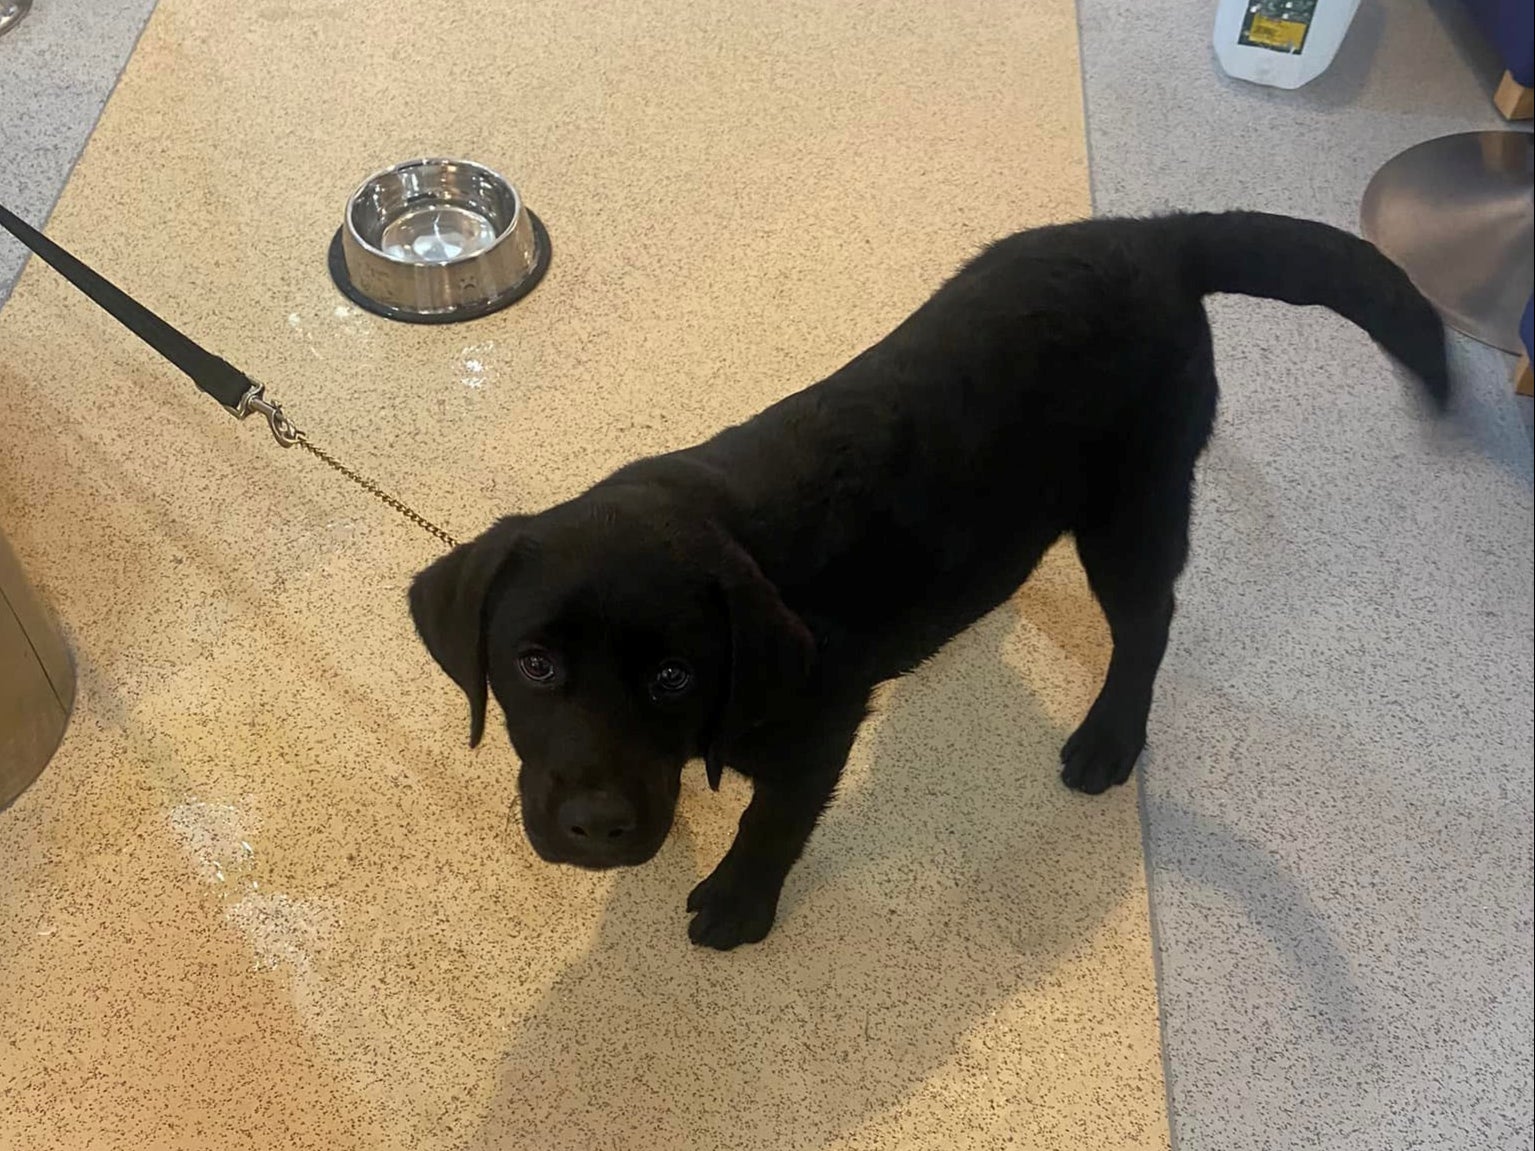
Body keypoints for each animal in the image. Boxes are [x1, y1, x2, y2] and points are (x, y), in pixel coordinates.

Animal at [405, 211, 1436, 951]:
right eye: (534, 665)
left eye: (673, 677)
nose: (596, 828)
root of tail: (1155, 233)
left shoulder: (818, 731)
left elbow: (772, 823)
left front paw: (737, 905)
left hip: (1134, 504)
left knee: (1148, 623)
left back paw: (1109, 738)